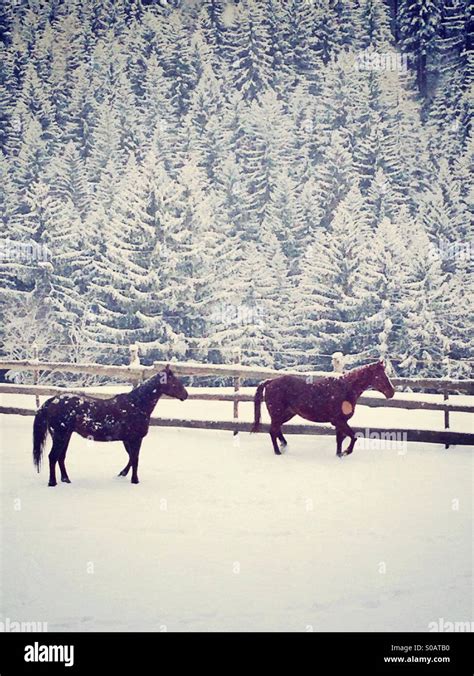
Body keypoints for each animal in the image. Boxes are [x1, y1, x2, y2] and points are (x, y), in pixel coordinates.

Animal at [32, 364, 188, 486]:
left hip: (65, 435)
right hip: (60, 435)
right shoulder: (135, 439)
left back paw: (66, 480)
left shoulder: (127, 440)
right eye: (174, 382)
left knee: (60, 457)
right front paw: (135, 480)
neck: (136, 405)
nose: (186, 395)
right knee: (53, 457)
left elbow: (131, 457)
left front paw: (122, 474)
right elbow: (135, 458)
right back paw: (52, 483)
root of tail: (52, 401)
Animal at [252, 362, 396, 456]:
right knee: (272, 431)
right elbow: (353, 436)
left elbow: (340, 439)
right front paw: (346, 452)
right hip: (277, 414)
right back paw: (278, 452)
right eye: (380, 376)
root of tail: (270, 382)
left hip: (286, 414)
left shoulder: (340, 422)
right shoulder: (339, 421)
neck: (345, 389)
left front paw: (339, 454)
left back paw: (284, 446)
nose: (392, 392)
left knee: (277, 430)